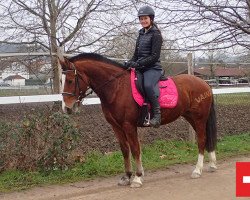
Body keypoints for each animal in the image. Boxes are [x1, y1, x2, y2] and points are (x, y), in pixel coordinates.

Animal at [58, 51, 217, 188]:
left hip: (199, 119)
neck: (116, 88)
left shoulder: (129, 125)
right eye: (61, 81)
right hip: (192, 118)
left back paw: (197, 170)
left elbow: (135, 149)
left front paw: (137, 177)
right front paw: (127, 176)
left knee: (202, 139)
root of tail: (204, 83)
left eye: (70, 81)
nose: (67, 108)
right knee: (206, 139)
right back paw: (212, 164)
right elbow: (125, 150)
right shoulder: (116, 126)